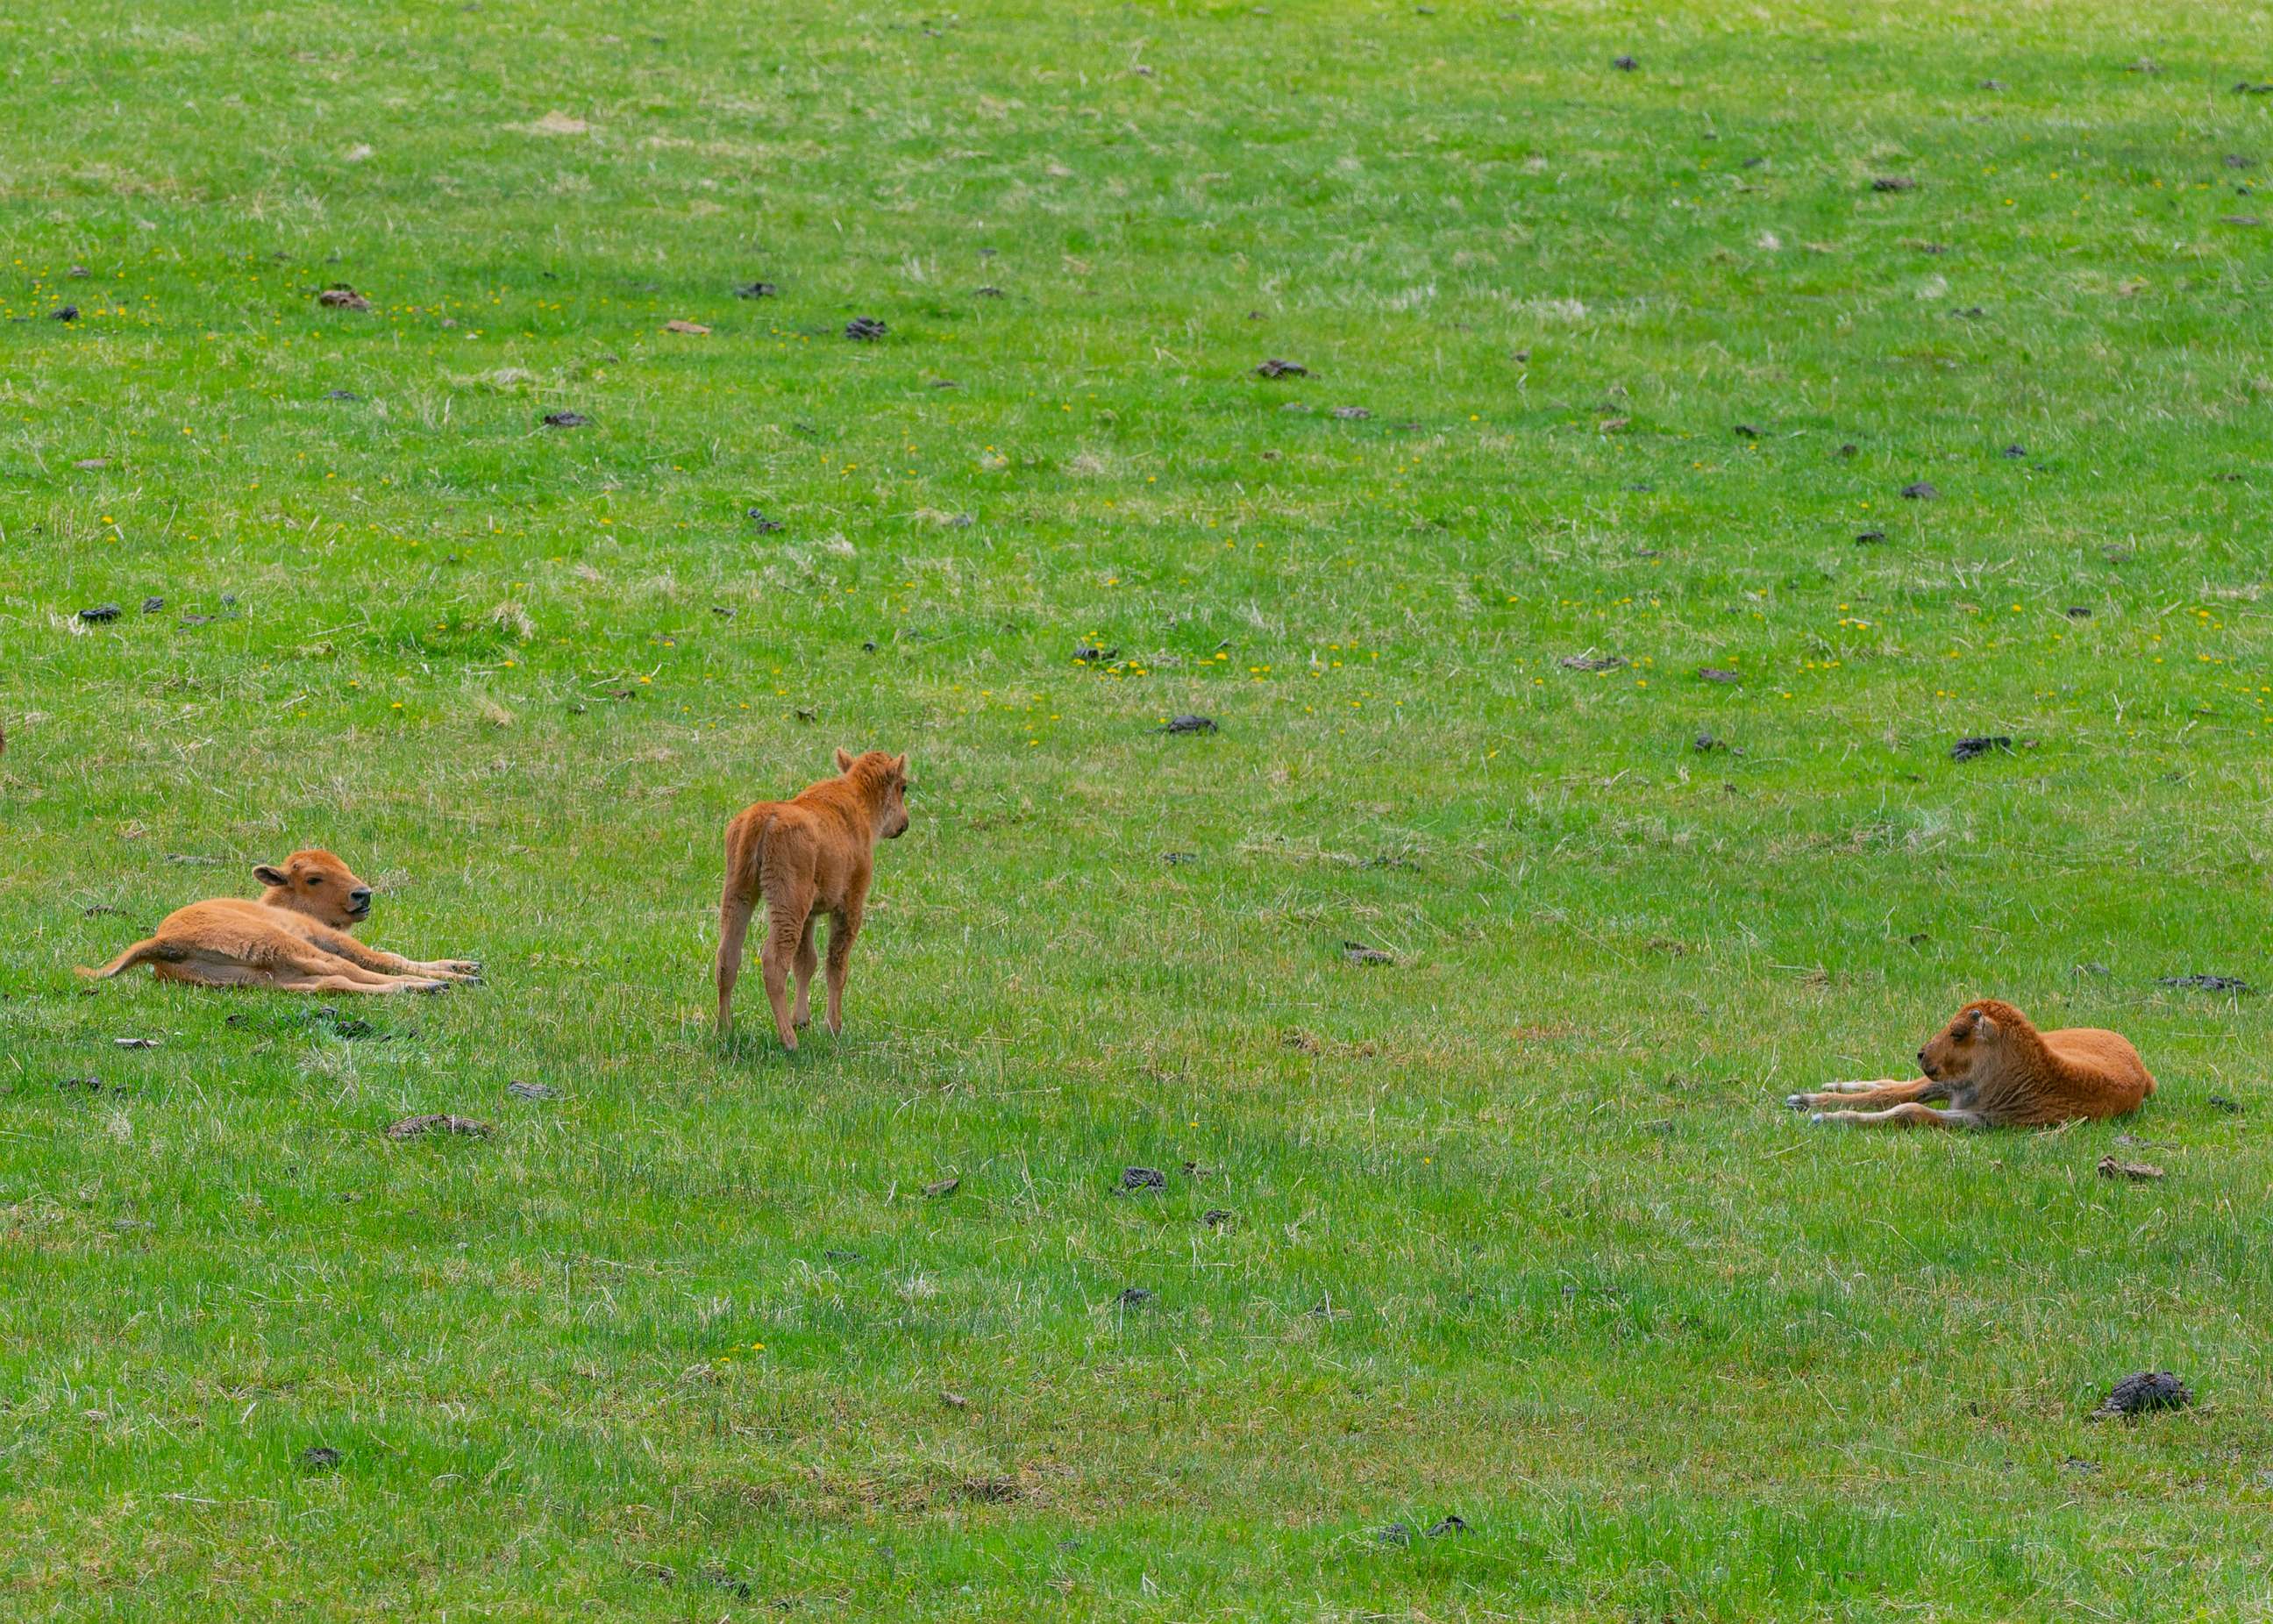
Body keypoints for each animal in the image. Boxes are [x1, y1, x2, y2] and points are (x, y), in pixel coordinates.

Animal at [79, 849, 479, 990]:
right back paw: (433, 986)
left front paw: (465, 965)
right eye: (314, 878)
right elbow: (383, 958)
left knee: (332, 983)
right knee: (345, 971)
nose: (363, 895)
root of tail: (162, 942)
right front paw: (458, 972)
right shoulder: (326, 937)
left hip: (262, 978)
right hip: (287, 947)